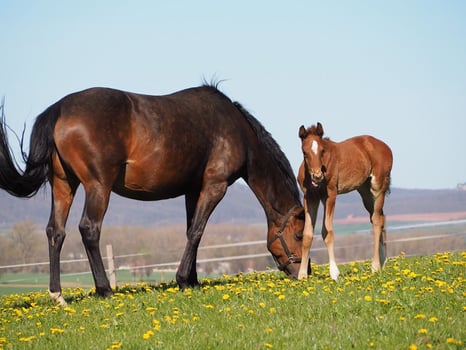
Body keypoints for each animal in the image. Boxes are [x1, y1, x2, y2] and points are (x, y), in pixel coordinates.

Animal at [0, 84, 304, 304]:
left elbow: (190, 231)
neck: (236, 130)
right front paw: (182, 280)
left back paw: (58, 295)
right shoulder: (214, 186)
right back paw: (105, 290)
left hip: (64, 184)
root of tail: (60, 109)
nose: (304, 272)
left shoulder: (193, 190)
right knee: (89, 229)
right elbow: (197, 231)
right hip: (98, 186)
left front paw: (192, 281)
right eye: (300, 235)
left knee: (56, 232)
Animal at [296, 121, 392, 280]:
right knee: (380, 217)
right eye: (304, 152)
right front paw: (302, 275)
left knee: (377, 221)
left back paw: (375, 266)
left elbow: (327, 232)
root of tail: (385, 146)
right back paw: (383, 262)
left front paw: (334, 273)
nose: (317, 176)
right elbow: (307, 235)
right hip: (365, 192)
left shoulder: (330, 195)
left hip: (378, 187)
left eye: (322, 150)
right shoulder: (310, 198)